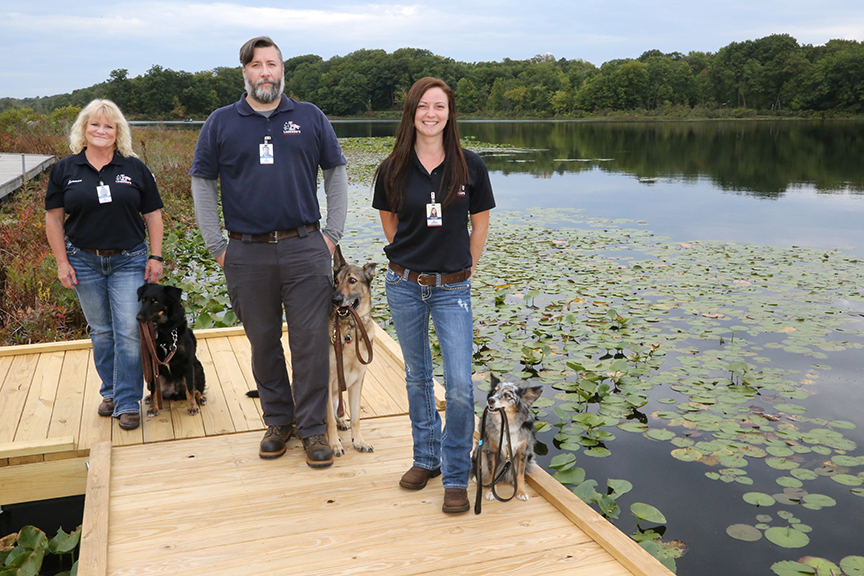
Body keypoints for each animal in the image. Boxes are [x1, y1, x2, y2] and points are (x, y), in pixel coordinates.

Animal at [137, 282, 208, 414]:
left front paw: (192, 406)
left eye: (155, 301)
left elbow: (190, 389)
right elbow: (154, 390)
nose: (138, 317)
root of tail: (175, 391)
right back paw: (149, 398)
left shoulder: (187, 363)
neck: (165, 333)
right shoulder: (153, 364)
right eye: (143, 300)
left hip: (197, 369)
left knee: (196, 389)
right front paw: (153, 407)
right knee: (156, 391)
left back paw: (200, 398)